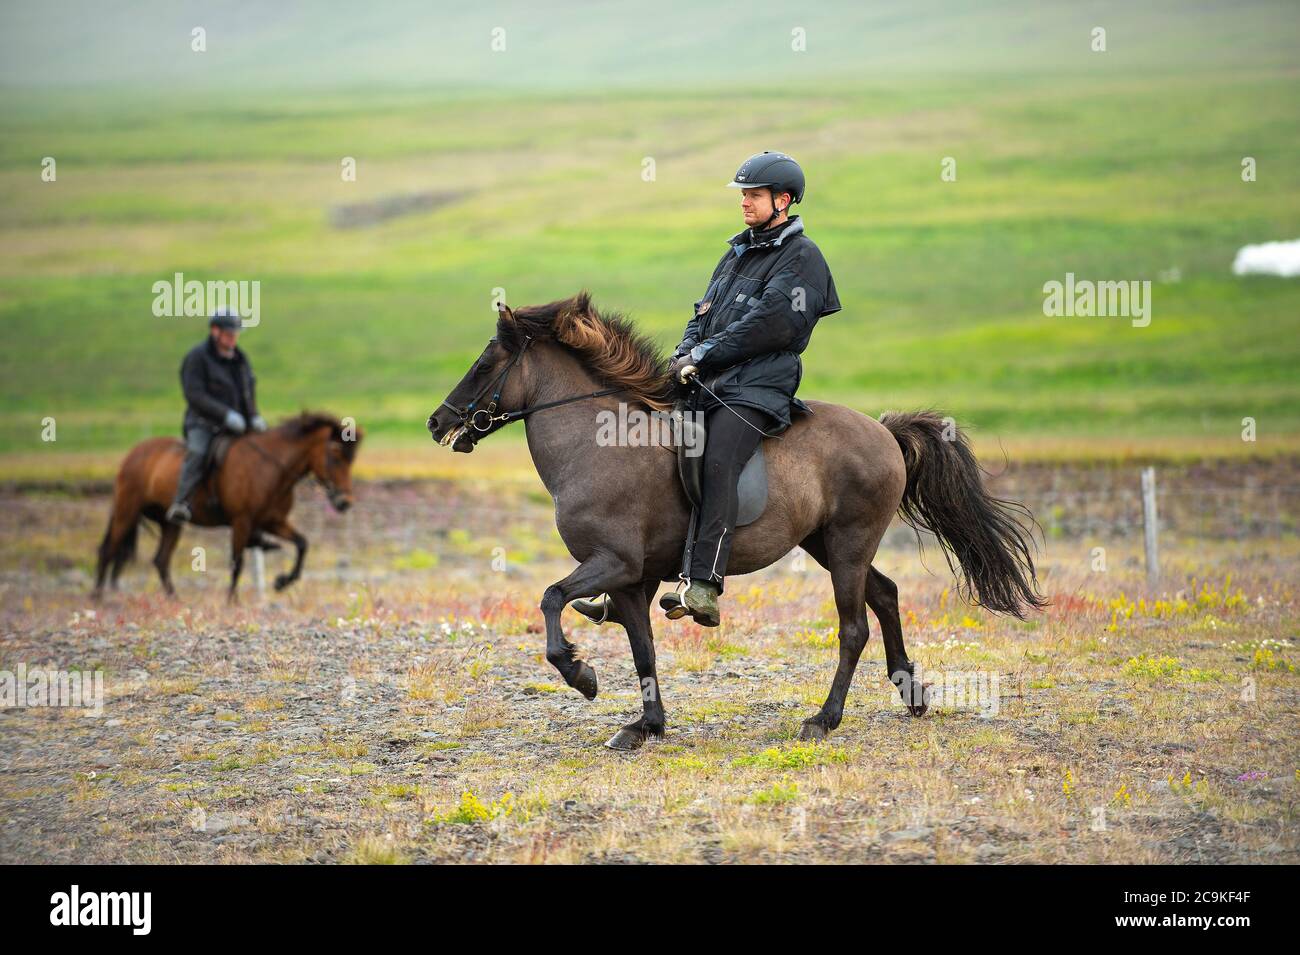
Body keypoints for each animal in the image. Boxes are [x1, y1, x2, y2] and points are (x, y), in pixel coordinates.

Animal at [94, 413, 364, 605]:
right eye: (335, 456)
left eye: (351, 461)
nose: (345, 502)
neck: (271, 469)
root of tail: (133, 453)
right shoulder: (241, 521)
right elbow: (237, 562)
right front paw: (232, 600)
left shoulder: (273, 521)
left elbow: (302, 544)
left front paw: (281, 582)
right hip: (127, 511)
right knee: (109, 550)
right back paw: (97, 596)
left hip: (170, 522)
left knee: (161, 560)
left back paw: (175, 600)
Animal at [426, 294, 1045, 748]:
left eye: (484, 364)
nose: (437, 423)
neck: (598, 445)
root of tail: (883, 431)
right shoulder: (632, 578)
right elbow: (642, 646)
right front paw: (645, 726)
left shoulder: (614, 563)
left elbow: (552, 598)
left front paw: (582, 676)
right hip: (825, 544)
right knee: (886, 595)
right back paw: (911, 694)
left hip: (847, 544)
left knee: (854, 627)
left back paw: (823, 719)